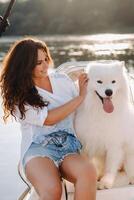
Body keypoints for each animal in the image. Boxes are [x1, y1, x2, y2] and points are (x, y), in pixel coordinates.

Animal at [75, 60, 134, 189]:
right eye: (99, 81)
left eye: (113, 81)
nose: (109, 92)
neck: (100, 113)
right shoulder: (88, 143)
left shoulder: (114, 144)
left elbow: (110, 167)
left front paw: (105, 183)